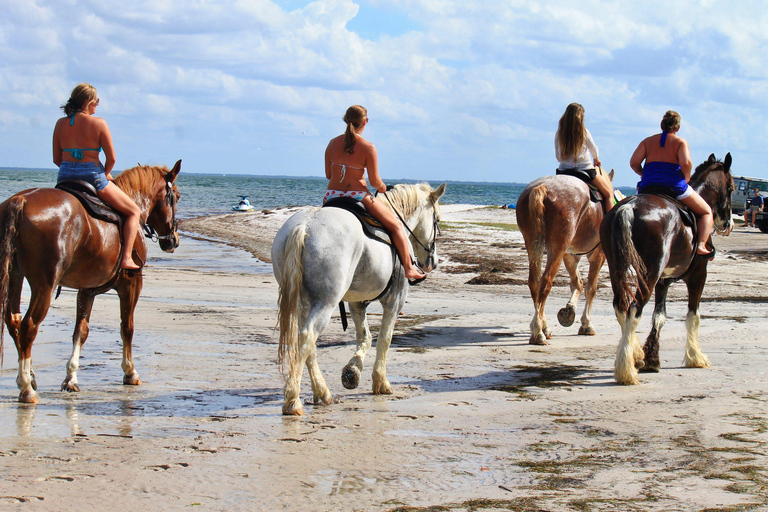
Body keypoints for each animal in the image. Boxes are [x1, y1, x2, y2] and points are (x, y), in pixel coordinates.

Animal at [0, 162, 182, 402]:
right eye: (176, 197)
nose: (173, 240)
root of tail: (20, 201)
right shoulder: (131, 285)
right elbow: (127, 328)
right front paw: (130, 371)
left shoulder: (86, 290)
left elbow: (81, 330)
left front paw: (71, 378)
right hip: (44, 284)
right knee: (28, 325)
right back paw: (26, 387)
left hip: (15, 276)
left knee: (13, 321)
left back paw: (30, 375)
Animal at [272, 184, 448, 416]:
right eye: (437, 220)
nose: (432, 262)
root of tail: (305, 225)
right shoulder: (395, 301)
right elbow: (384, 339)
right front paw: (380, 381)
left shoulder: (356, 303)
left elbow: (365, 337)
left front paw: (352, 371)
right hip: (325, 302)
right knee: (307, 335)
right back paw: (293, 400)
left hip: (305, 301)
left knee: (308, 343)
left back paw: (321, 391)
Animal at [512, 168, 616, 344]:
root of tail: (542, 187)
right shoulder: (598, 255)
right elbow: (591, 288)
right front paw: (586, 324)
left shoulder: (569, 256)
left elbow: (577, 283)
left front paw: (570, 309)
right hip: (557, 248)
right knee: (546, 282)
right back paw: (538, 332)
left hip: (533, 243)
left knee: (535, 283)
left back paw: (543, 327)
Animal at [600, 154, 732, 386]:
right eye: (732, 187)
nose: (728, 222)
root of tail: (629, 208)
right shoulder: (698, 275)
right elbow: (693, 315)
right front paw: (694, 356)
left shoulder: (663, 281)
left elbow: (659, 316)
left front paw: (651, 358)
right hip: (649, 274)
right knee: (634, 309)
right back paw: (627, 370)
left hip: (618, 268)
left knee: (621, 307)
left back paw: (634, 354)